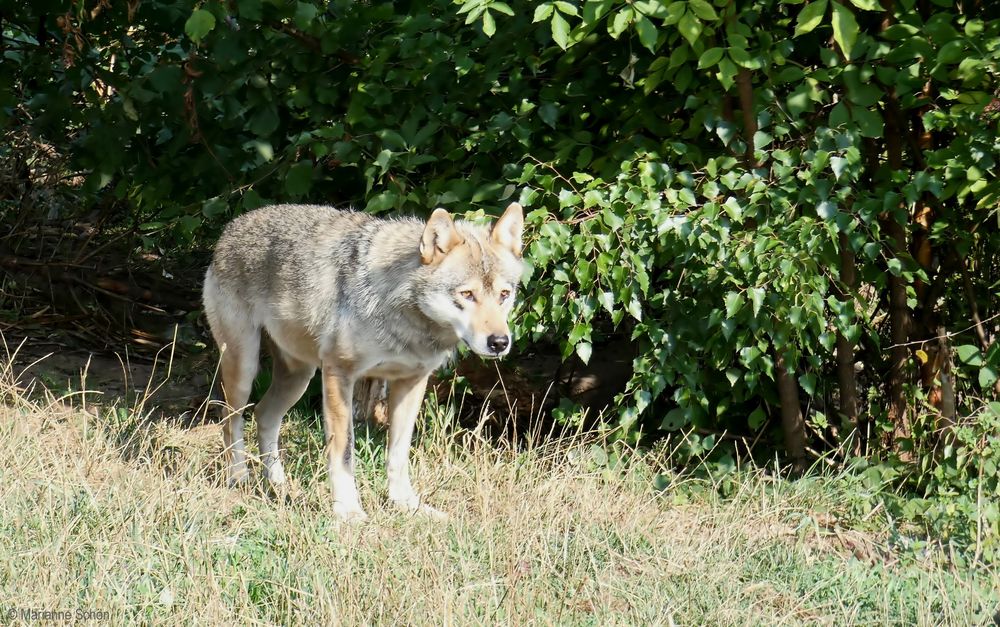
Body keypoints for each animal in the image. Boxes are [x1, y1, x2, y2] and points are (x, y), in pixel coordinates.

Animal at [202, 201, 524, 520]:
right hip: (245, 369)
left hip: (299, 377)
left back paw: (279, 485)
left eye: (504, 295)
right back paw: (239, 478)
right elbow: (343, 453)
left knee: (264, 414)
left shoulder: (411, 384)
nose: (499, 342)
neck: (402, 311)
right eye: (467, 294)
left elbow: (398, 455)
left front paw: (407, 505)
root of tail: (232, 226)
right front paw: (349, 512)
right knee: (230, 420)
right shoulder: (338, 374)